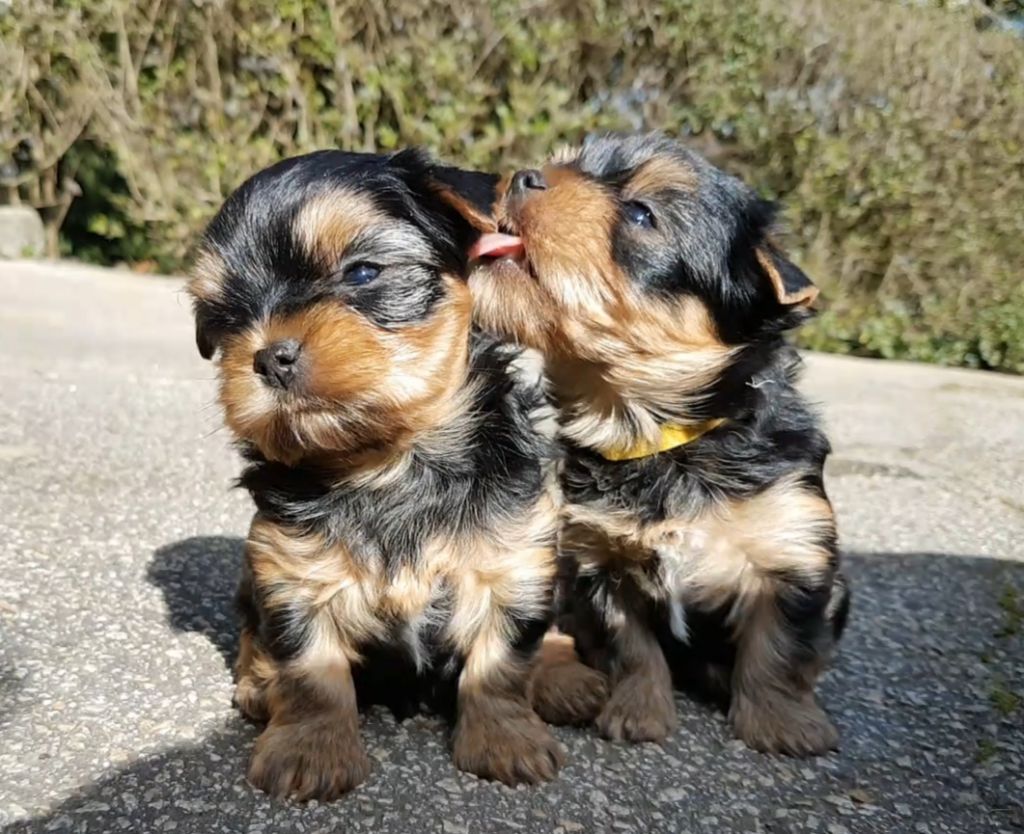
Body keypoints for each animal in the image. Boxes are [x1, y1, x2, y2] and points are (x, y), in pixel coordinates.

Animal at [188, 150, 602, 803]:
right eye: (223, 316)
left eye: (363, 272)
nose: (270, 357)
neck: (389, 463)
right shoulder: (290, 574)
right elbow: (310, 672)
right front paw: (310, 750)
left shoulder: (513, 560)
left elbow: (502, 662)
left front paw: (504, 740)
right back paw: (258, 685)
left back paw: (563, 679)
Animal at [468, 132, 851, 758]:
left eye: (642, 214)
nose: (523, 176)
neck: (658, 438)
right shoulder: (599, 560)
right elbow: (633, 647)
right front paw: (639, 711)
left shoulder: (792, 546)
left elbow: (780, 646)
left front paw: (781, 724)